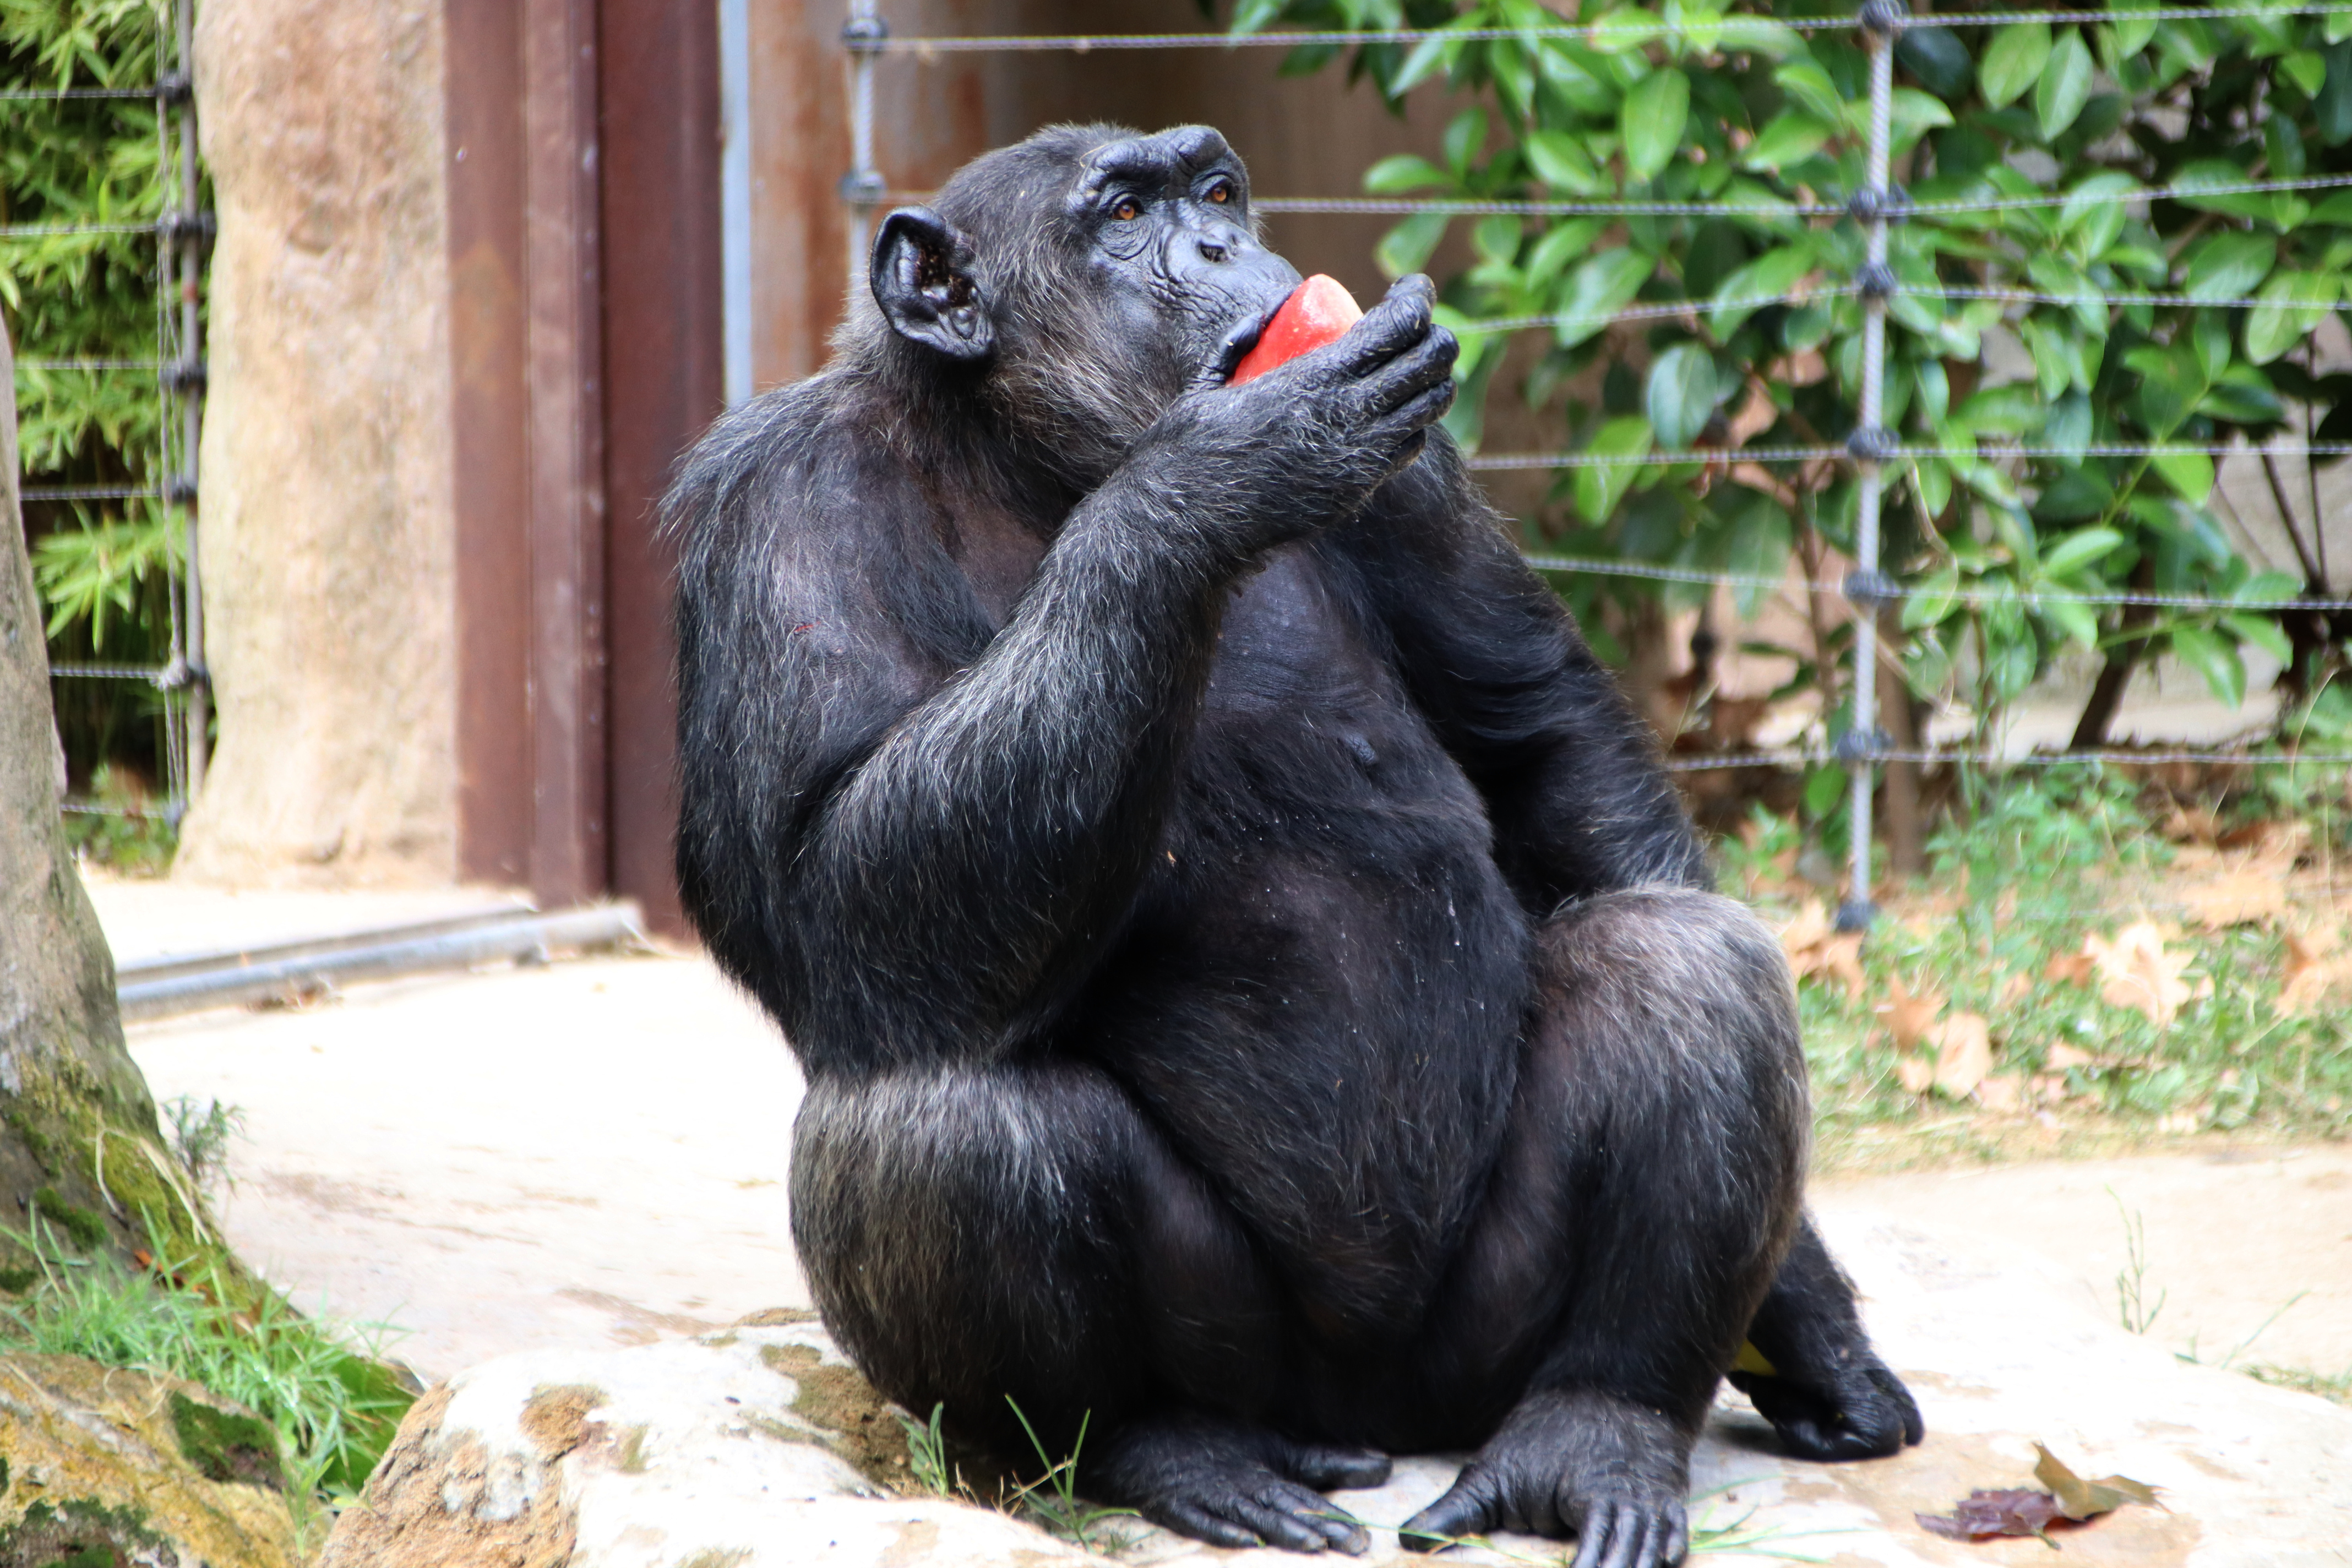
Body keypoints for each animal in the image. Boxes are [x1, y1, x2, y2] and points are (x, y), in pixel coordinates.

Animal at [672, 126, 1919, 1568]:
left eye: (1214, 192)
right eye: (1123, 215)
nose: (1224, 245)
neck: (1026, 458)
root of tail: (1370, 1412)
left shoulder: (1422, 474)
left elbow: (1545, 745)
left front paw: (1812, 1313)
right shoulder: (773, 508)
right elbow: (831, 890)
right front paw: (1212, 479)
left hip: (1481, 1335)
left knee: (1686, 960)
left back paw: (1596, 1430)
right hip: (1251, 1352)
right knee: (942, 1121)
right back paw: (1168, 1446)